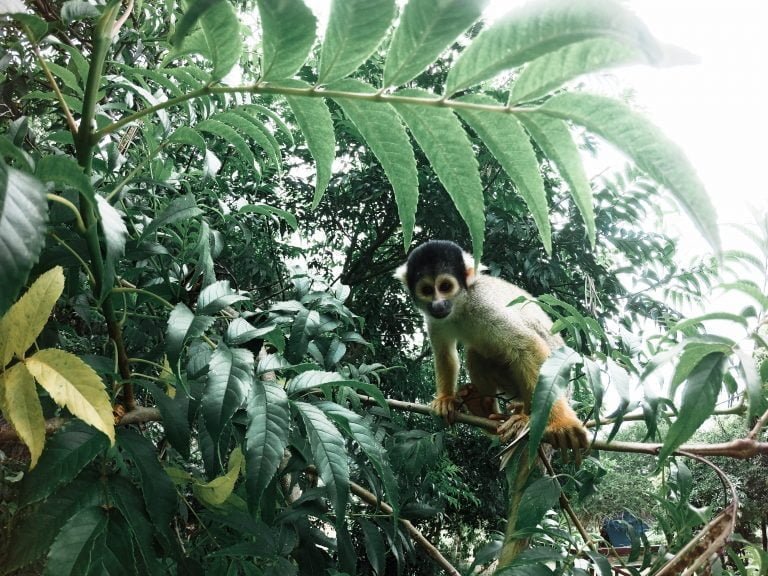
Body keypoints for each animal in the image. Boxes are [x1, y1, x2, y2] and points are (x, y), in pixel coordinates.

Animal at [394, 240, 588, 461]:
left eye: (445, 287)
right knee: (475, 353)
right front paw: (445, 399)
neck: (460, 305)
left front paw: (562, 424)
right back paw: (484, 410)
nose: (438, 304)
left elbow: (528, 346)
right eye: (426, 290)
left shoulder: (483, 304)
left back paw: (525, 418)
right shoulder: (433, 318)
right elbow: (444, 353)